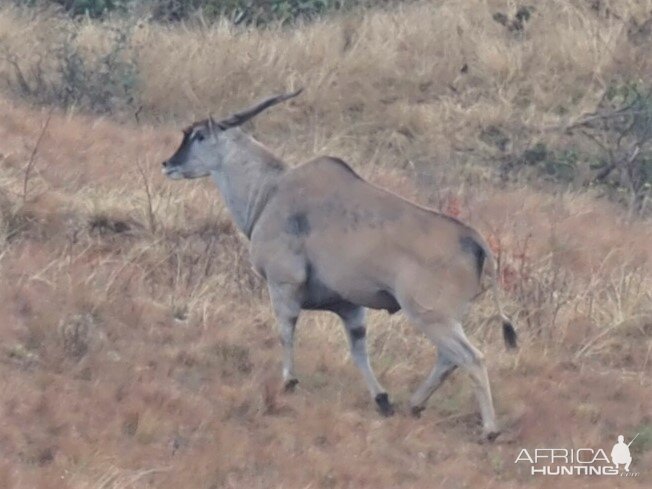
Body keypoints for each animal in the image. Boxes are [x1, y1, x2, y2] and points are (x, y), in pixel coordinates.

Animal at [160, 88, 516, 438]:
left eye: (199, 136)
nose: (167, 163)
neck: (270, 191)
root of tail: (473, 239)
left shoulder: (283, 283)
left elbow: (286, 331)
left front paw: (289, 381)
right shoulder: (350, 306)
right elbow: (358, 350)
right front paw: (382, 399)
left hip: (431, 316)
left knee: (471, 358)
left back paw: (490, 429)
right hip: (446, 319)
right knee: (448, 358)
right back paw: (414, 405)